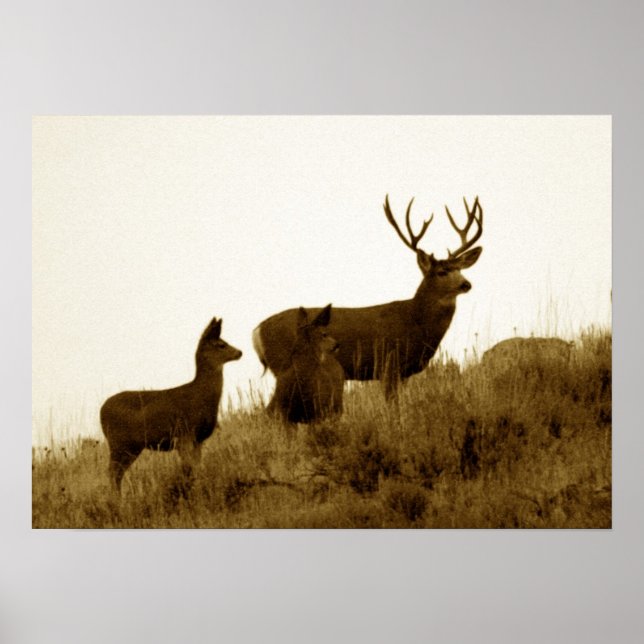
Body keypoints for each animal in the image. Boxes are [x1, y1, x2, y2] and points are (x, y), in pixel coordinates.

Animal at [100, 317, 242, 491]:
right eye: (221, 344)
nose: (239, 352)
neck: (200, 396)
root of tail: (101, 411)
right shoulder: (184, 434)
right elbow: (189, 468)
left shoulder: (198, 440)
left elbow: (196, 467)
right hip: (120, 443)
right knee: (113, 473)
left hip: (128, 446)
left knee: (116, 474)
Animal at [253, 194, 483, 397]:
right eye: (441, 272)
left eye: (460, 268)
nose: (466, 284)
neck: (417, 322)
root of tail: (257, 331)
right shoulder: (389, 363)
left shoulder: (404, 373)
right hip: (284, 363)